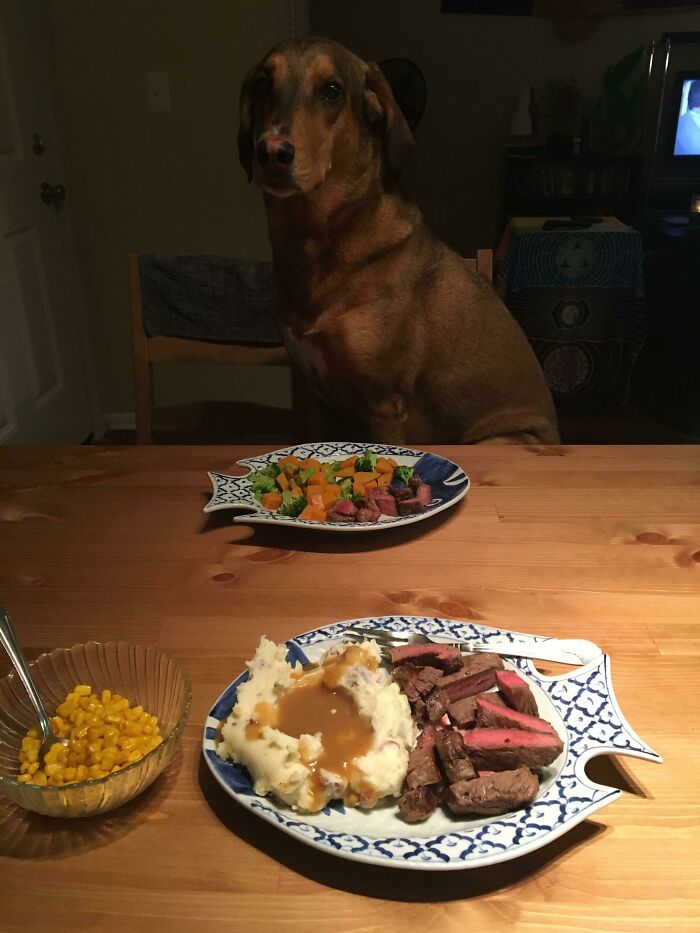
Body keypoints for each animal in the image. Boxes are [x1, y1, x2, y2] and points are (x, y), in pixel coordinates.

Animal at [238, 37, 560, 444]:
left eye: (332, 90)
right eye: (262, 85)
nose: (271, 151)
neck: (316, 238)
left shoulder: (382, 403)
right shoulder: (319, 398)